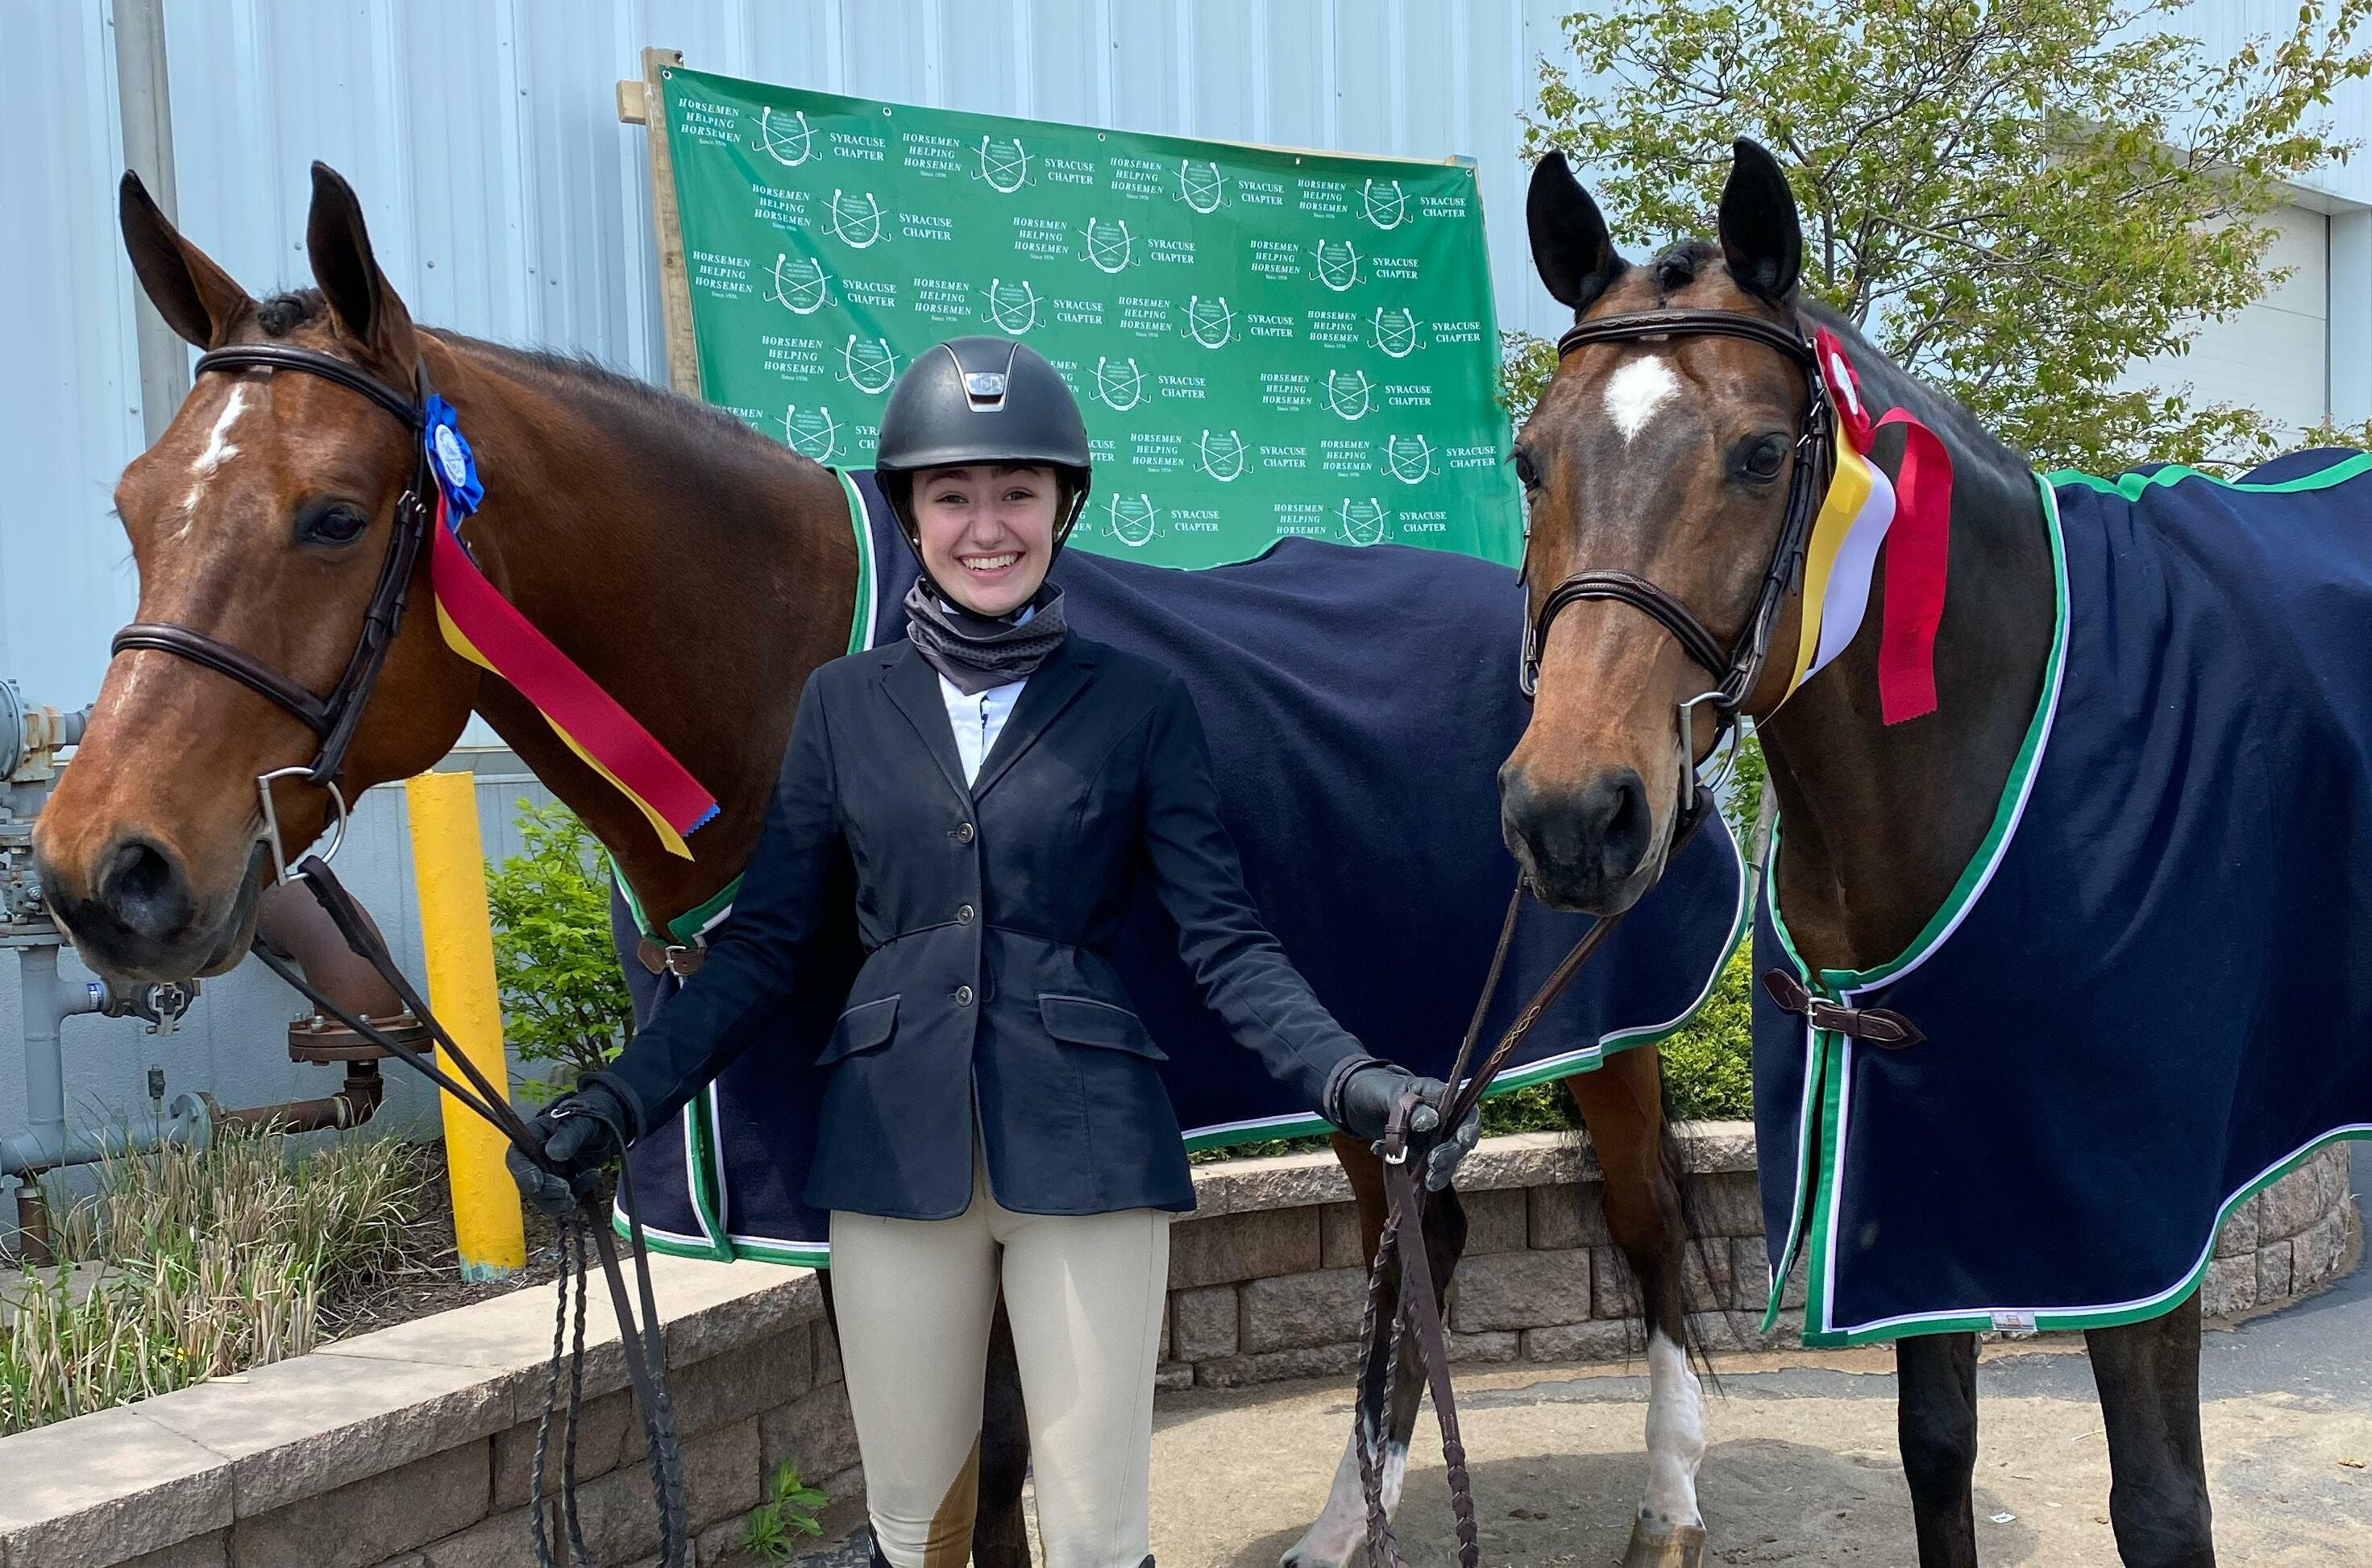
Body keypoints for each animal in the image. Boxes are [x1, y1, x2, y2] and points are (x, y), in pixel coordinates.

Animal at [1498, 136, 2372, 1568]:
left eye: (1757, 453)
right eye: (1529, 459)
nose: (1571, 813)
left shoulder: (2131, 1227)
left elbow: (2160, 1505)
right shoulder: (1919, 1175)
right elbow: (1935, 1447)